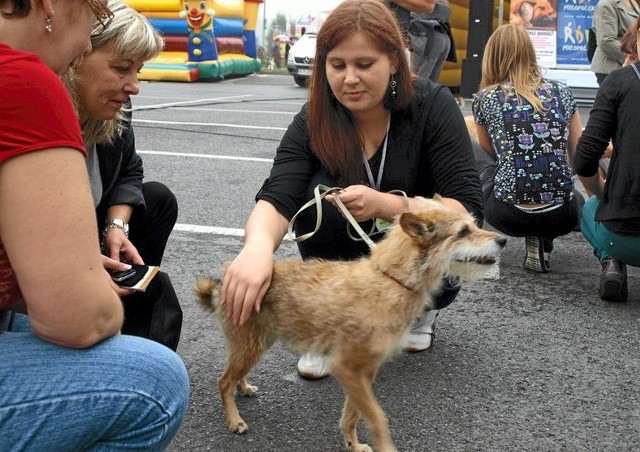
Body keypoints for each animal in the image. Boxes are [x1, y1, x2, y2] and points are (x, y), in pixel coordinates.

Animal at [195, 199, 504, 452]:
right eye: (463, 232)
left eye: (474, 225)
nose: (502, 239)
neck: (391, 280)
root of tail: (224, 282)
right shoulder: (347, 368)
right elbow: (377, 417)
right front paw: (382, 445)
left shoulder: (364, 372)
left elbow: (353, 415)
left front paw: (352, 444)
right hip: (250, 346)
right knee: (223, 381)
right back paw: (234, 419)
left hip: (256, 344)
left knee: (234, 376)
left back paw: (244, 388)